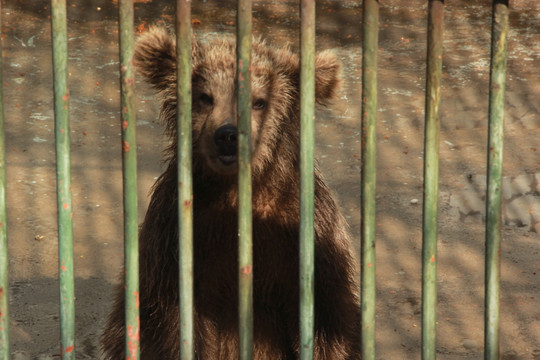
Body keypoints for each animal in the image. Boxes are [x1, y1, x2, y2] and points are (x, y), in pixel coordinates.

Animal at [103, 27, 360, 360]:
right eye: (205, 97)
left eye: (259, 101)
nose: (226, 136)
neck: (235, 194)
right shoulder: (178, 243)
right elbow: (175, 324)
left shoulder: (305, 239)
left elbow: (326, 321)